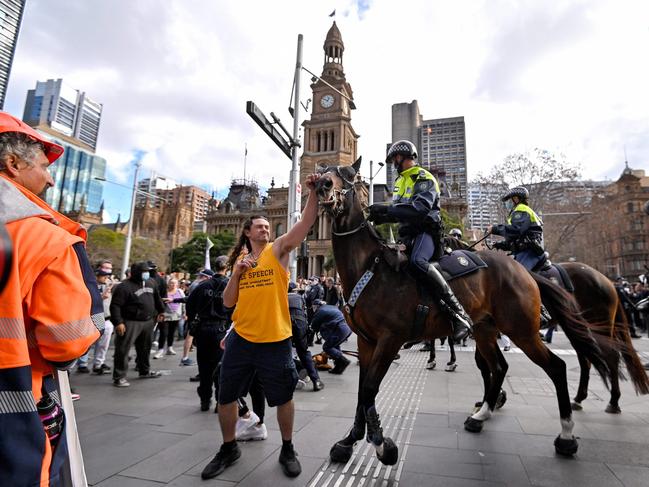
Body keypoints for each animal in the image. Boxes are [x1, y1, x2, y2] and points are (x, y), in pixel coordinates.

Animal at [314, 162, 612, 468]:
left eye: (349, 176)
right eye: (326, 171)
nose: (322, 186)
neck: (370, 268)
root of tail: (523, 271)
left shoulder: (389, 340)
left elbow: (370, 389)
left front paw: (382, 444)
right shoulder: (366, 342)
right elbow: (362, 392)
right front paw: (349, 441)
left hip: (523, 331)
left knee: (558, 367)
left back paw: (567, 434)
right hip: (485, 329)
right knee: (500, 366)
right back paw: (482, 415)